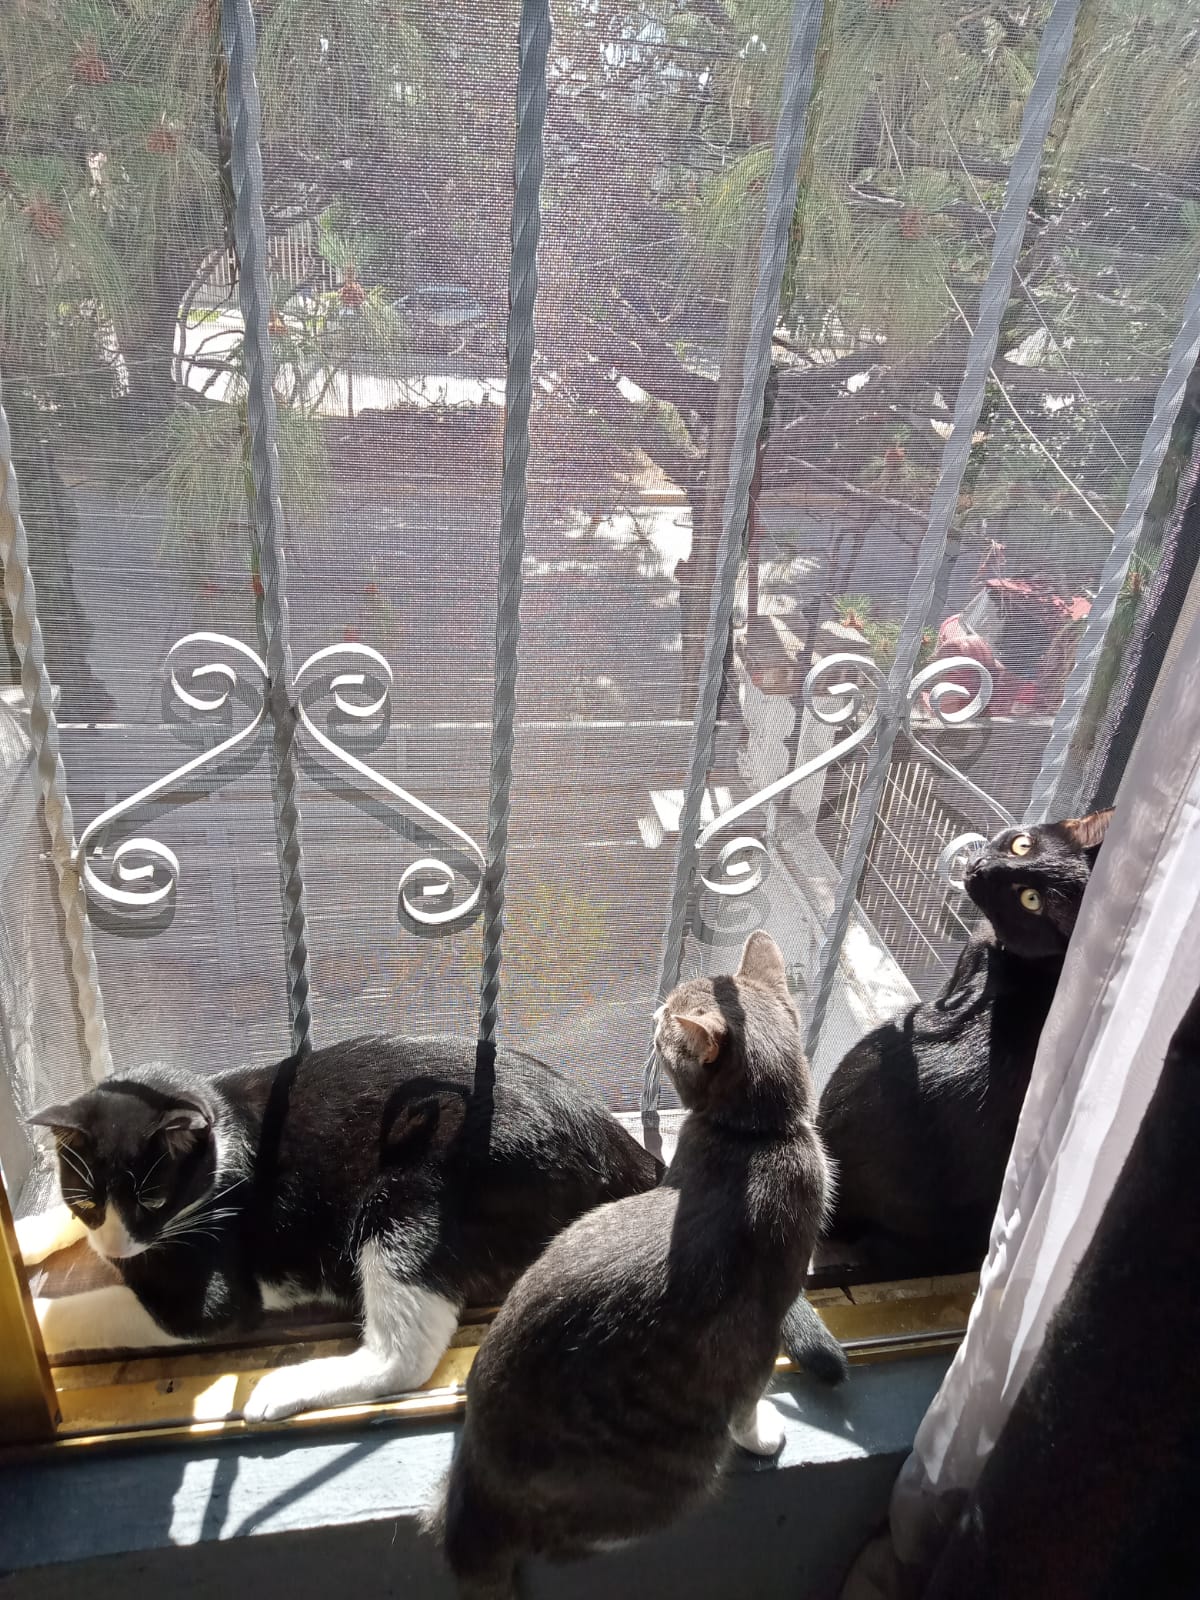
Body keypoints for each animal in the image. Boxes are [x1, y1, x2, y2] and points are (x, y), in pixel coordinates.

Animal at [23, 1036, 662, 1427]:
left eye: (153, 1198)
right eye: (86, 1198)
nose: (116, 1244)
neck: (220, 1117)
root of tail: (620, 1147)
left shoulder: (210, 1297)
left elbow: (106, 1309)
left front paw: (41, 1324)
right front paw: (31, 1234)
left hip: (405, 1199)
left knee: (404, 1357)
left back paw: (281, 1390)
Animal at [428, 934, 838, 1593]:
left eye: (668, 1019)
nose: (653, 1013)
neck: (756, 1137)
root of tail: (476, 1491)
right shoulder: (759, 1330)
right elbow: (748, 1404)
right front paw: (762, 1436)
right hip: (677, 1469)